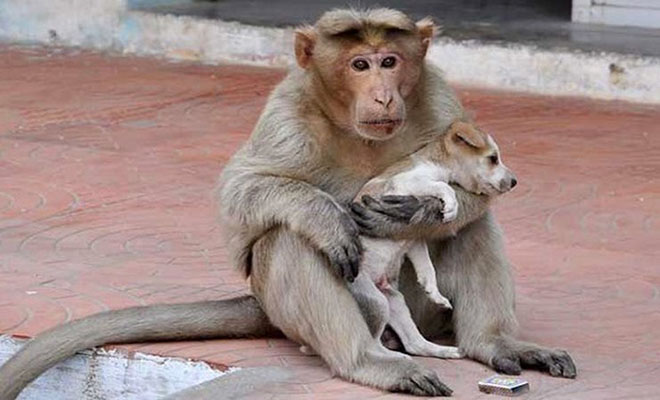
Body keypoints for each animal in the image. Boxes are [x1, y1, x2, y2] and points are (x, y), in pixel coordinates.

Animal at [350, 119, 520, 360]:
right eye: (493, 158)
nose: (514, 182)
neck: (437, 163)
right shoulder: (404, 182)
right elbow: (443, 186)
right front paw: (451, 206)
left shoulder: (413, 237)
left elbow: (427, 267)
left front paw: (434, 292)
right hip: (376, 300)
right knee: (371, 343)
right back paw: (394, 356)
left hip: (395, 301)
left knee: (414, 344)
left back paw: (446, 351)